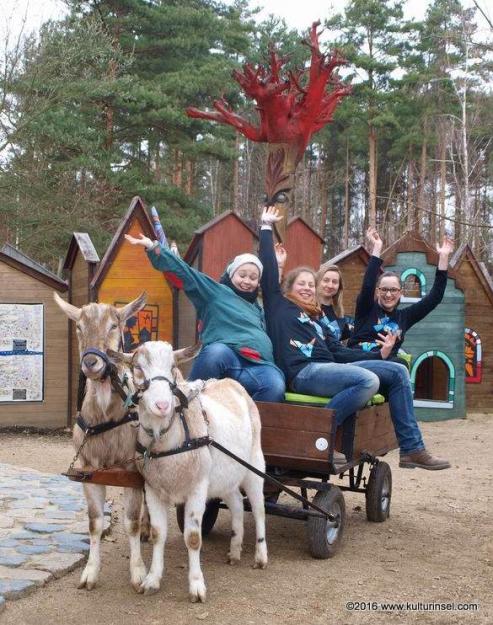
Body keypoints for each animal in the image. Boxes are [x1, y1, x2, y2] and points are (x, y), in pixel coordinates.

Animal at [113, 342, 268, 600]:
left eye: (173, 367)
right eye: (138, 368)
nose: (162, 406)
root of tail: (233, 383)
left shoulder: (197, 488)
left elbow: (193, 538)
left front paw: (196, 587)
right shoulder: (153, 489)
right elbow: (158, 533)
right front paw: (152, 580)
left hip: (254, 466)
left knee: (258, 509)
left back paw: (261, 557)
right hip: (226, 477)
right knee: (237, 502)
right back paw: (235, 551)